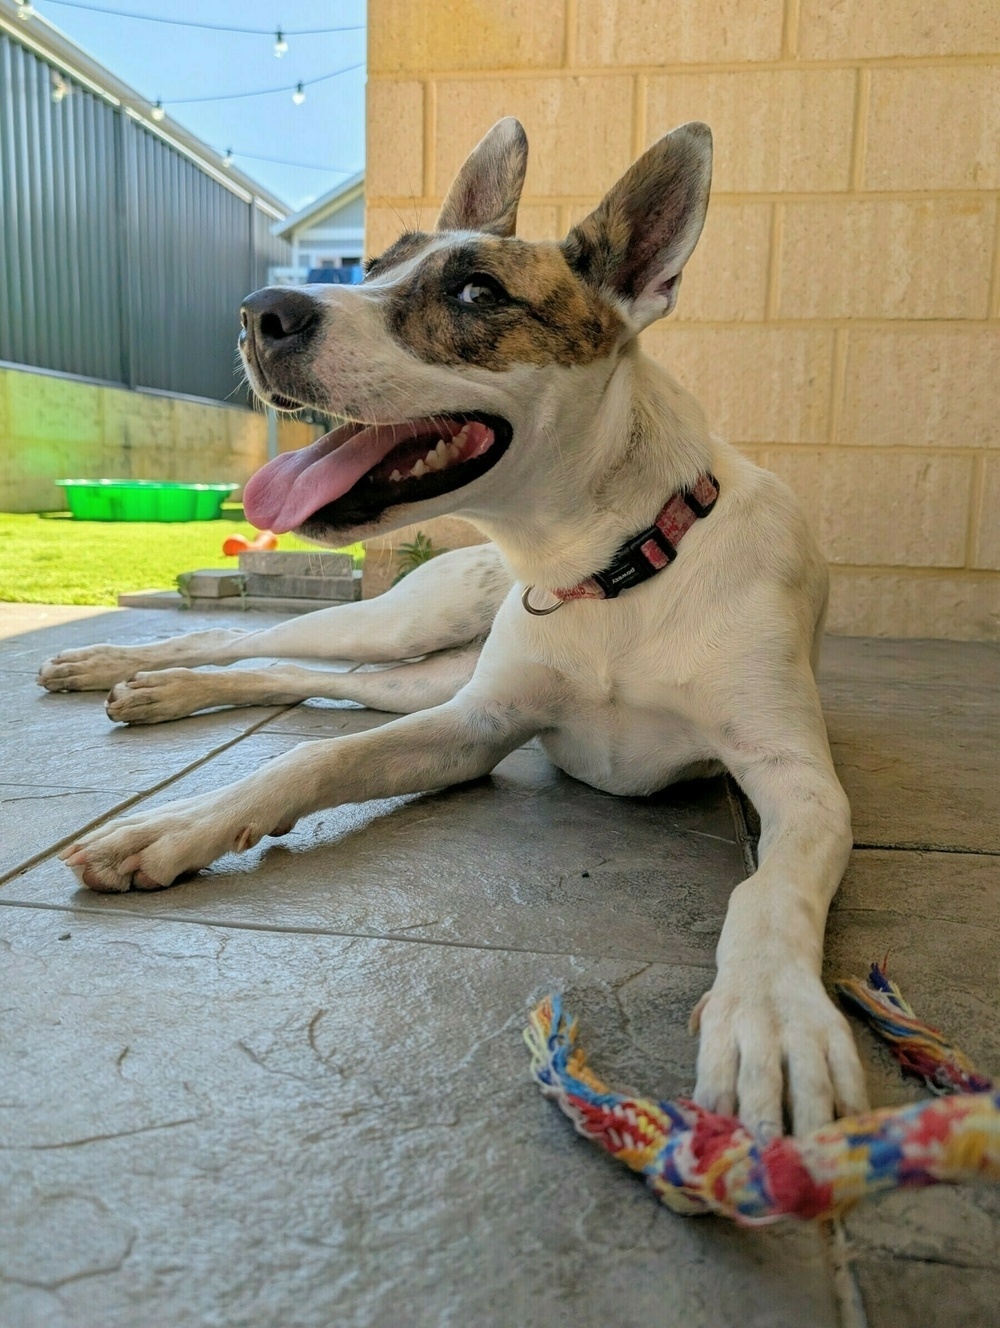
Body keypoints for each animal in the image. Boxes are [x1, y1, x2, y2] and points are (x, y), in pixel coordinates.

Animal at [37, 119, 865, 1136]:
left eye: (477, 292)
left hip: (422, 674)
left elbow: (767, 888)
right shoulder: (475, 724)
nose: (261, 312)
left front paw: (772, 1015)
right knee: (253, 645)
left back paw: (156, 689)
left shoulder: (798, 784)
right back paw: (126, 667)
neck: (603, 568)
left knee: (313, 680)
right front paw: (181, 822)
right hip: (409, 631)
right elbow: (308, 759)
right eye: (375, 265)